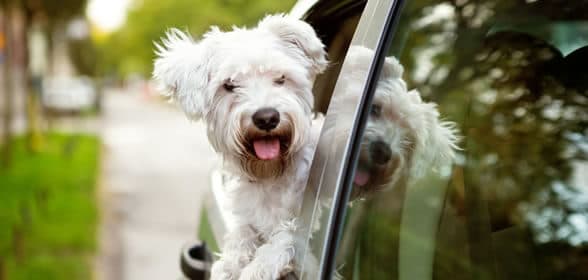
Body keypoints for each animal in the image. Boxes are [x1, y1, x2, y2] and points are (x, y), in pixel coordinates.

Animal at [153, 15, 326, 280]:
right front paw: (228, 266)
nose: (267, 118)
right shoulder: (246, 221)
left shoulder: (304, 229)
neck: (271, 174)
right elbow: (239, 241)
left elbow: (285, 238)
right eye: (229, 85)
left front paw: (257, 269)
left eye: (280, 78)